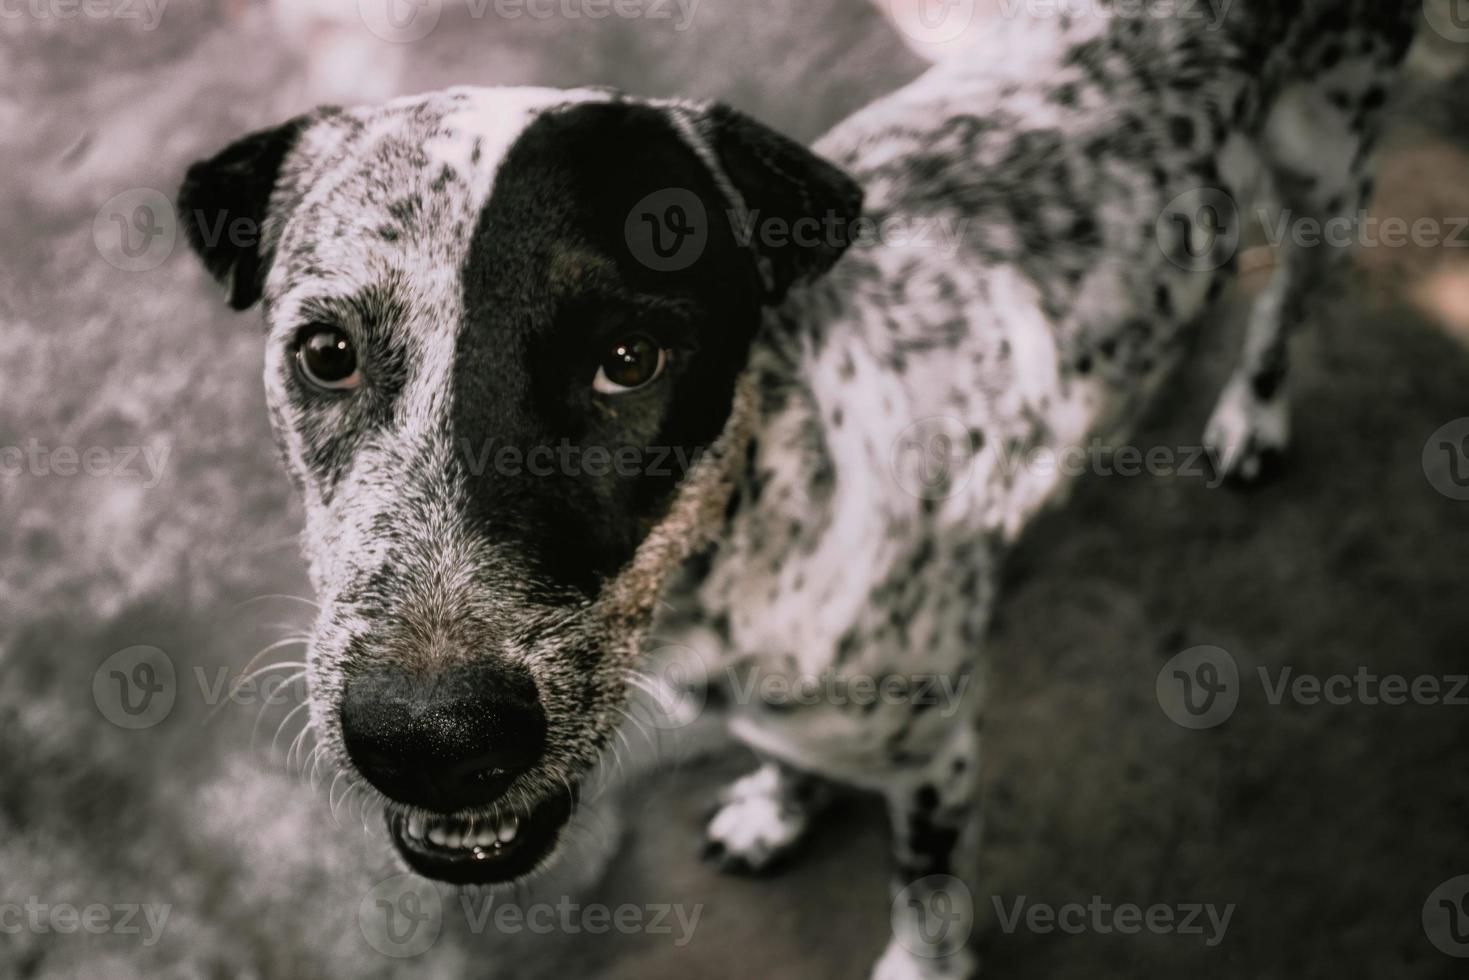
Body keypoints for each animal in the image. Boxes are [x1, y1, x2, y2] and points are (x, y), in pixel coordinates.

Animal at [174, 3, 1421, 975]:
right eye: (325, 351)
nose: (430, 738)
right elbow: (785, 754)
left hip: (1328, 162)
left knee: (1288, 293)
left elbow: (924, 898)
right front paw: (778, 803)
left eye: (630, 357)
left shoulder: (936, 755)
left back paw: (1251, 408)